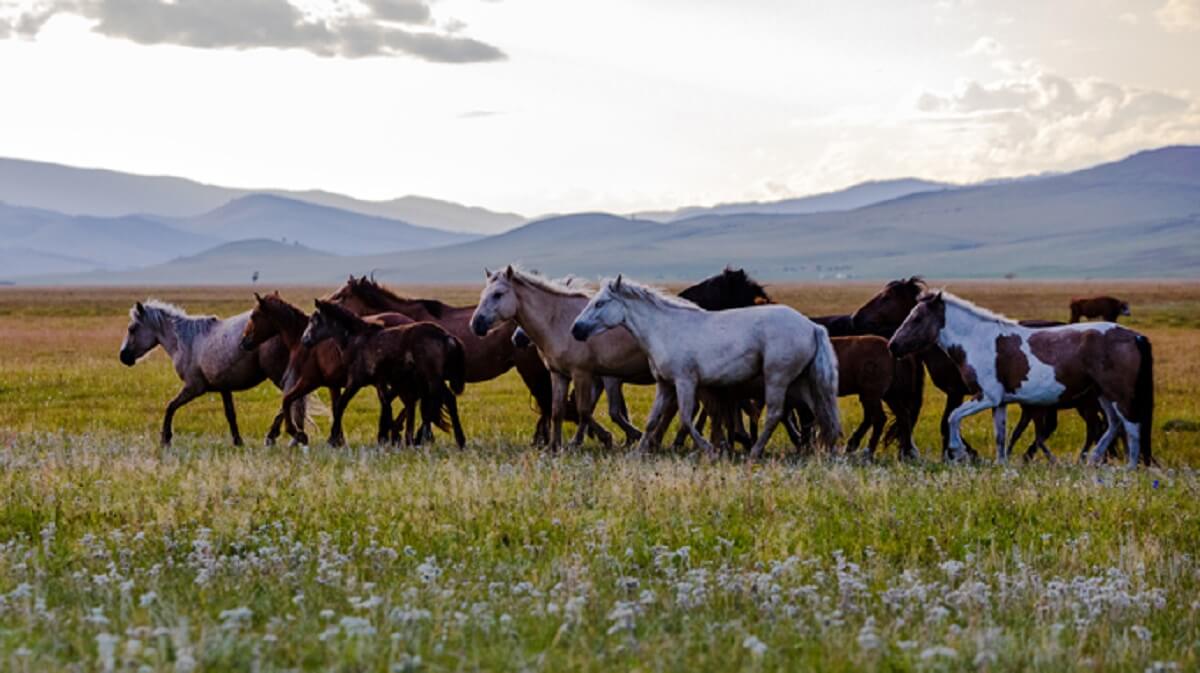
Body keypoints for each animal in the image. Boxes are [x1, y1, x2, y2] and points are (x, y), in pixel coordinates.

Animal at [119, 299, 304, 446]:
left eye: (132, 329)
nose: (123, 356)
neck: (186, 341)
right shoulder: (224, 387)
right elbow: (230, 414)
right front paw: (238, 441)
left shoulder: (194, 387)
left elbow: (170, 406)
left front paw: (166, 439)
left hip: (279, 376)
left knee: (290, 399)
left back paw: (275, 436)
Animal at [324, 275, 556, 443]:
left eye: (342, 295)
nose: (324, 304)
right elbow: (419, 404)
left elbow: (421, 405)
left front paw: (408, 435)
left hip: (529, 369)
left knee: (546, 403)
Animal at [568, 273, 835, 455]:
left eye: (600, 303)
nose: (576, 330)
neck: (665, 329)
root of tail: (812, 326)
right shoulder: (665, 385)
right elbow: (653, 420)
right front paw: (638, 451)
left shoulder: (685, 382)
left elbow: (686, 418)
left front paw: (709, 449)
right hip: (800, 381)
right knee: (818, 411)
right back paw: (823, 450)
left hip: (776, 379)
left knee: (776, 414)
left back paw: (755, 451)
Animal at [892, 289, 1152, 467]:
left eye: (916, 318)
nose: (893, 346)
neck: (977, 340)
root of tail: (1134, 336)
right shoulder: (999, 403)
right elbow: (1000, 435)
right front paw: (1000, 464)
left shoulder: (986, 396)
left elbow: (953, 417)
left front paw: (959, 452)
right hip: (1102, 395)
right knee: (1113, 424)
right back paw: (1093, 460)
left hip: (1118, 394)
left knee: (1131, 426)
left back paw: (1128, 468)